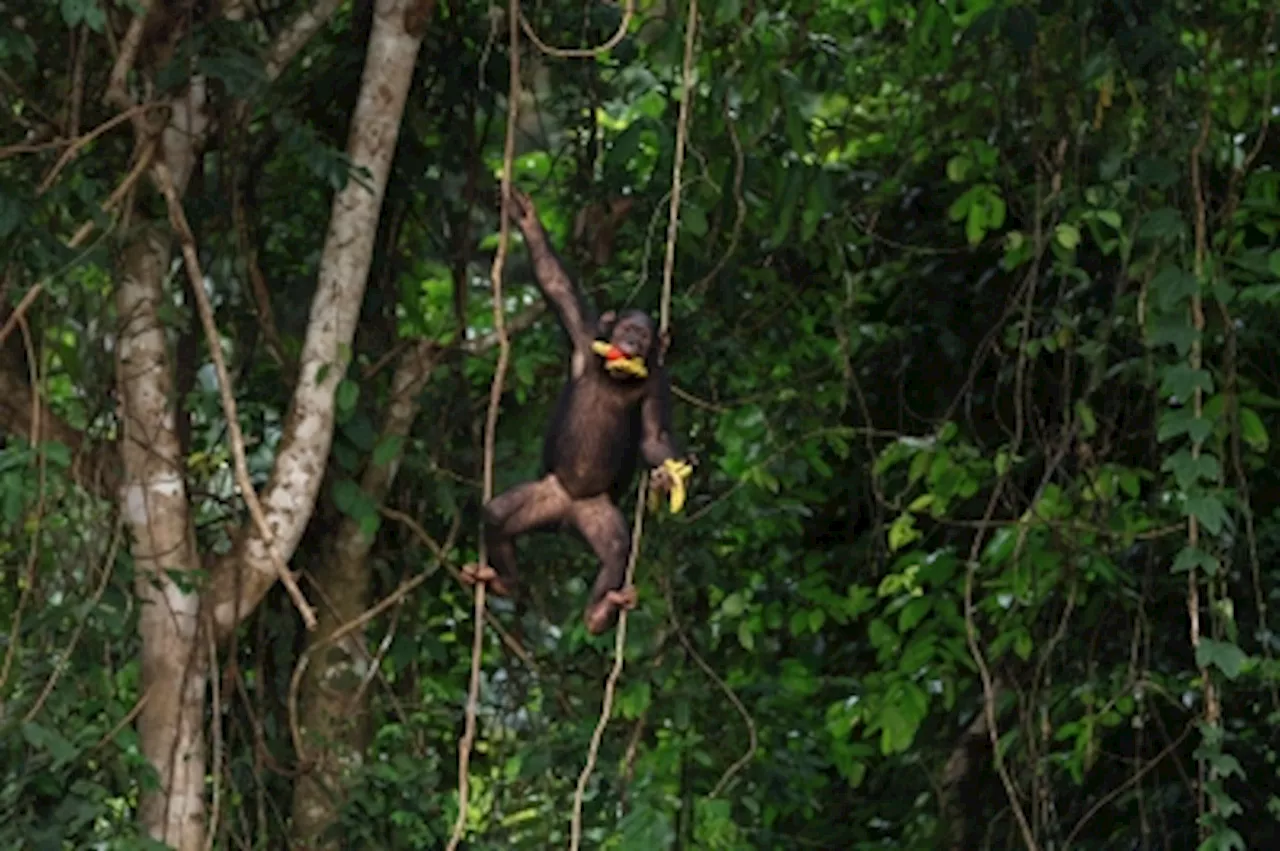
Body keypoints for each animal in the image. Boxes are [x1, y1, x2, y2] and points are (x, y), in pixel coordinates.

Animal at [460, 185, 696, 629]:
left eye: (643, 336)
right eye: (626, 330)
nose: (632, 343)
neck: (615, 374)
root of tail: (566, 517)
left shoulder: (659, 381)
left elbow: (654, 435)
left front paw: (668, 479)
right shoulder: (584, 335)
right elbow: (554, 282)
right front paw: (526, 218)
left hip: (596, 514)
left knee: (617, 547)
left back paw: (599, 613)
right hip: (545, 496)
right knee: (498, 515)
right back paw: (505, 583)